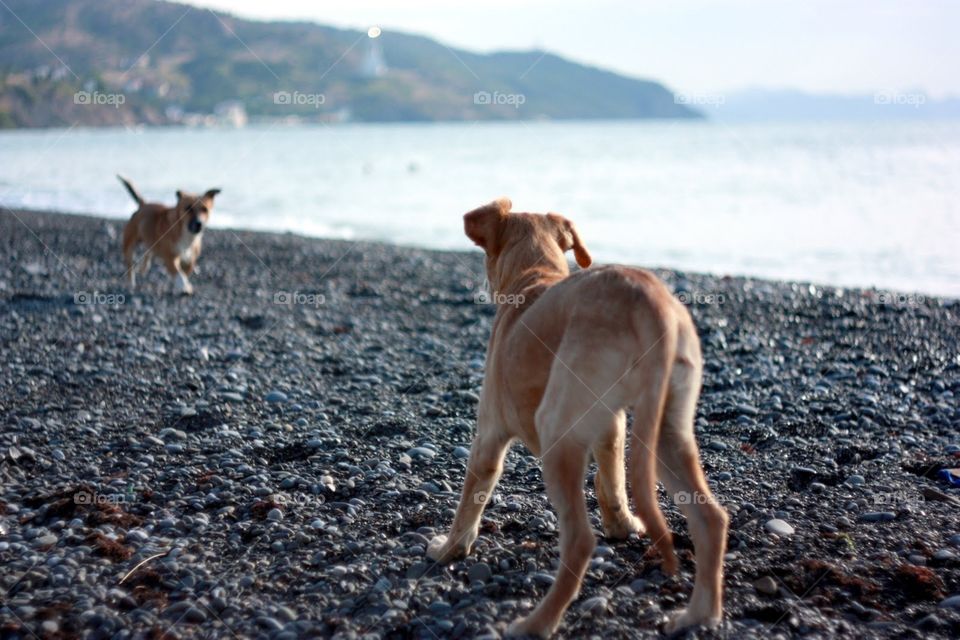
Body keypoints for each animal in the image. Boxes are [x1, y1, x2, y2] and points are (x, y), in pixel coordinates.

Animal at [428, 199, 728, 636]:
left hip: (556, 429)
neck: (533, 277)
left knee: (580, 541)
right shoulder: (612, 427)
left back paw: (536, 623)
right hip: (667, 428)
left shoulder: (488, 436)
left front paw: (450, 549)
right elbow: (612, 482)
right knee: (711, 518)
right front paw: (623, 525)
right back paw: (698, 615)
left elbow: (470, 502)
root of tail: (649, 301)